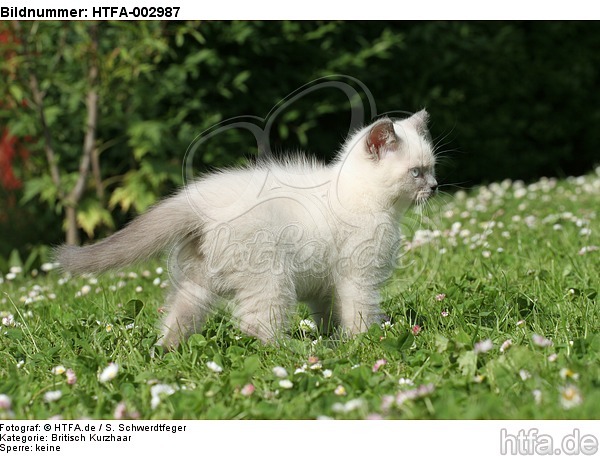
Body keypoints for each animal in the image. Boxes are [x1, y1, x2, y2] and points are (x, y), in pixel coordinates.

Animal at [56, 110, 438, 346]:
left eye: (432, 168)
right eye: (416, 173)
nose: (434, 187)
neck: (369, 200)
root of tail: (196, 200)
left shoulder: (324, 284)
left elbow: (329, 315)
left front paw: (334, 340)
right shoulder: (356, 276)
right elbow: (360, 313)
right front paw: (364, 343)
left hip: (199, 282)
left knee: (178, 317)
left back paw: (167, 352)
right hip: (272, 279)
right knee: (256, 327)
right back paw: (293, 353)